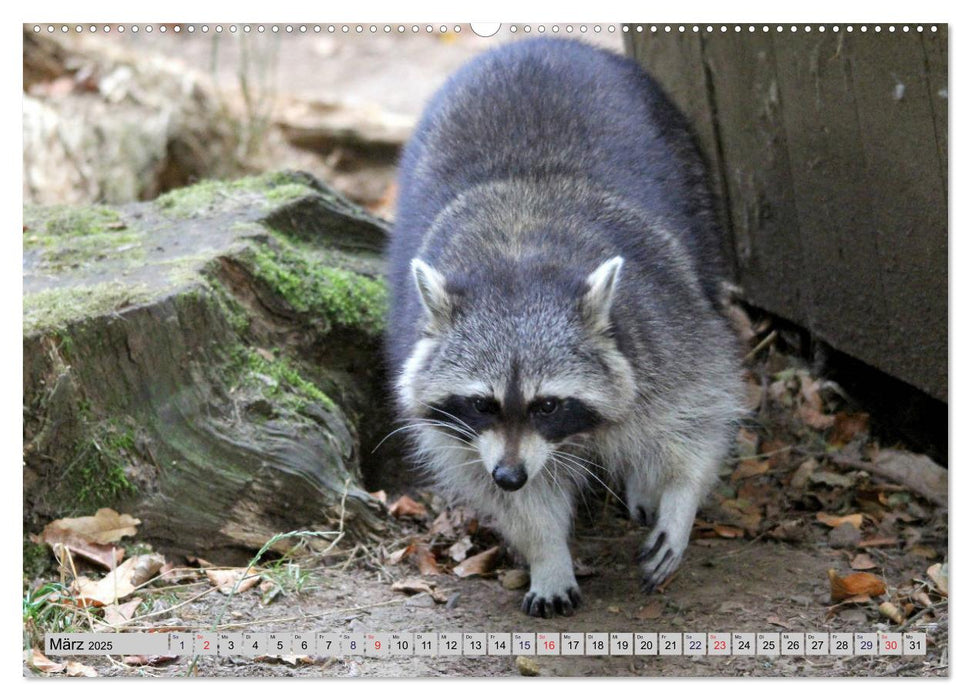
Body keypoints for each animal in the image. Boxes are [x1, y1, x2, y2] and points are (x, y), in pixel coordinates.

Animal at [384, 38, 740, 616]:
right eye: (482, 403)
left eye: (547, 405)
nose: (509, 474)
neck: (518, 264)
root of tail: (535, 42)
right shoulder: (463, 434)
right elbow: (506, 492)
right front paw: (547, 552)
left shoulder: (664, 323)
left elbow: (701, 413)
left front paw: (680, 498)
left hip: (695, 186)